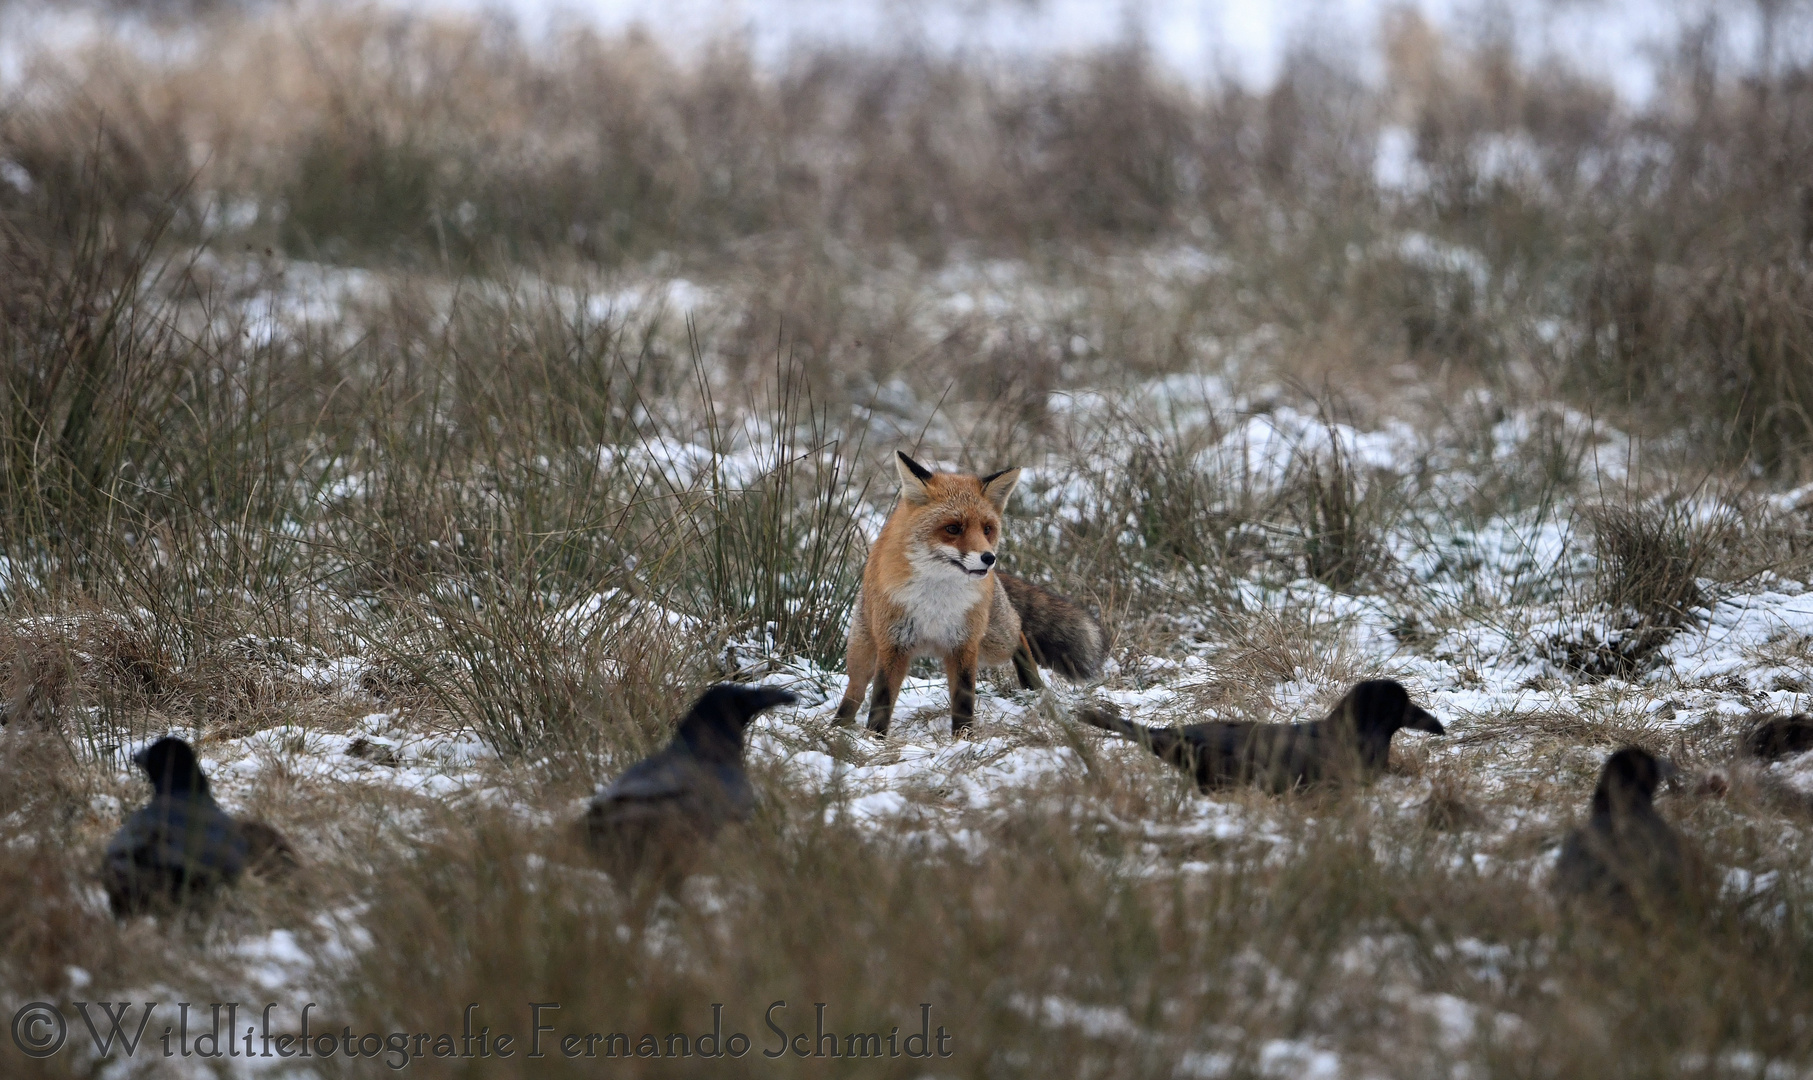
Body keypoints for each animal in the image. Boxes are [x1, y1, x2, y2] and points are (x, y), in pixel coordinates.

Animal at [833, 451, 1102, 739]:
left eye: (987, 529)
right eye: (953, 528)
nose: (989, 558)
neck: (937, 598)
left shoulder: (964, 643)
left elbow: (963, 700)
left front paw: (963, 739)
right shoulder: (894, 642)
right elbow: (881, 699)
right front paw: (875, 738)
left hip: (994, 642)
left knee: (1019, 631)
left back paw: (1034, 687)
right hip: (862, 649)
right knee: (856, 689)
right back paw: (838, 724)